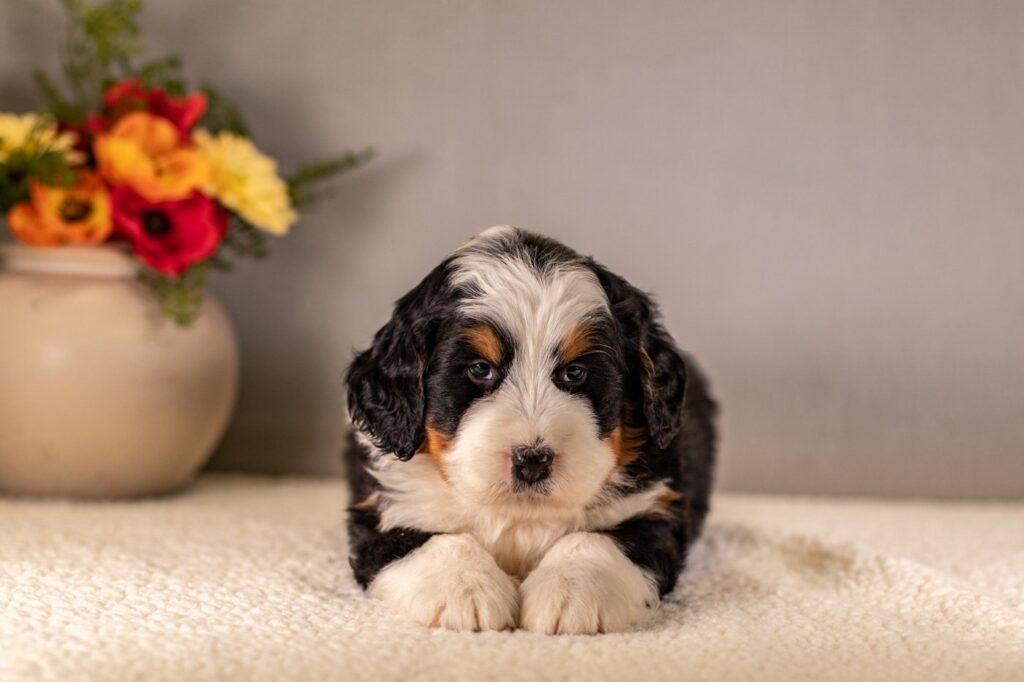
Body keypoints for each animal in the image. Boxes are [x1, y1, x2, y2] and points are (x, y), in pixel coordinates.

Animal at [342, 227, 712, 630]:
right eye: (480, 369)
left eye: (575, 372)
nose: (532, 460)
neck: (519, 516)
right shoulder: (385, 506)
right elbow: (433, 541)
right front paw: (464, 589)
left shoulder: (656, 506)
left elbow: (599, 539)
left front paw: (572, 591)